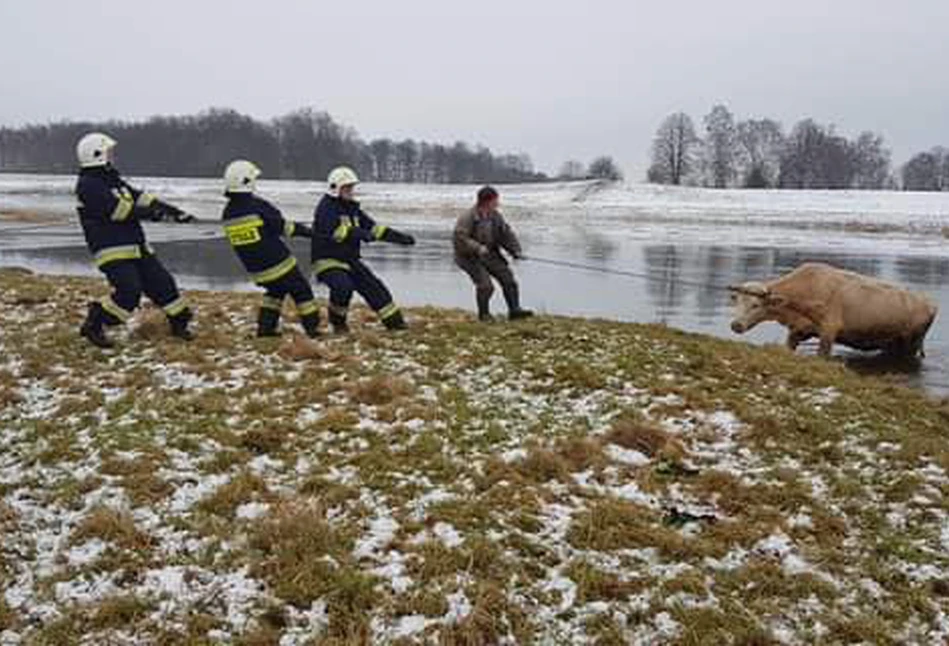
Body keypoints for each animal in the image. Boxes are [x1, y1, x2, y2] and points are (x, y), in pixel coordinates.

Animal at [728, 266, 936, 362]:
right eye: (736, 301)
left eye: (755, 305)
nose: (735, 325)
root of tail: (930, 304)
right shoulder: (797, 330)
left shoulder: (829, 330)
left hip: (911, 343)